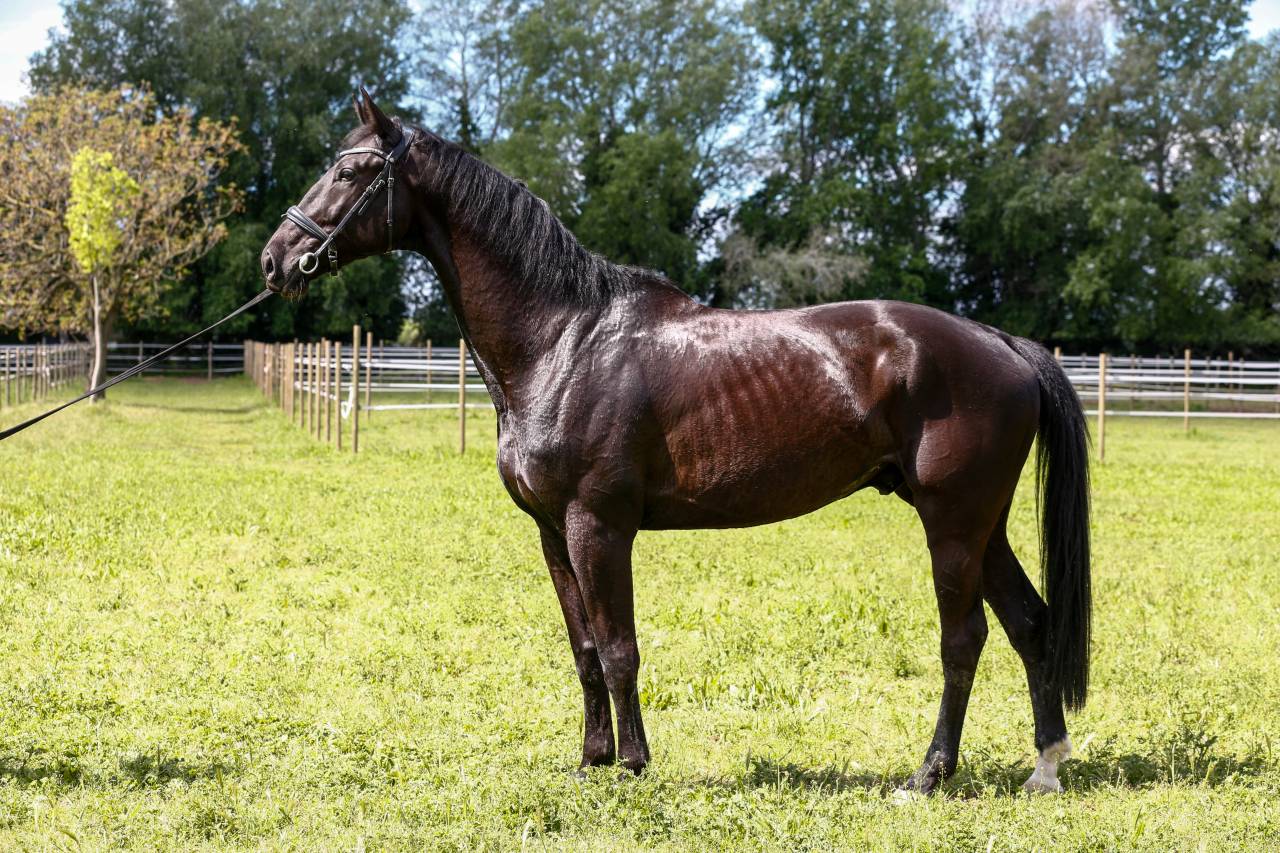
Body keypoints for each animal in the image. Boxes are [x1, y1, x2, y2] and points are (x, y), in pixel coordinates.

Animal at [260, 89, 1092, 796]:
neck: (564, 340)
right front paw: (592, 759)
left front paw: (632, 764)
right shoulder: (552, 533)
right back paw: (1044, 766)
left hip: (952, 523)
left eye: (351, 170)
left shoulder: (598, 525)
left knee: (964, 637)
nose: (275, 259)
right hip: (980, 525)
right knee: (1030, 621)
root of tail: (1003, 344)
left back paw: (928, 774)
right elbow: (585, 651)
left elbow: (619, 647)